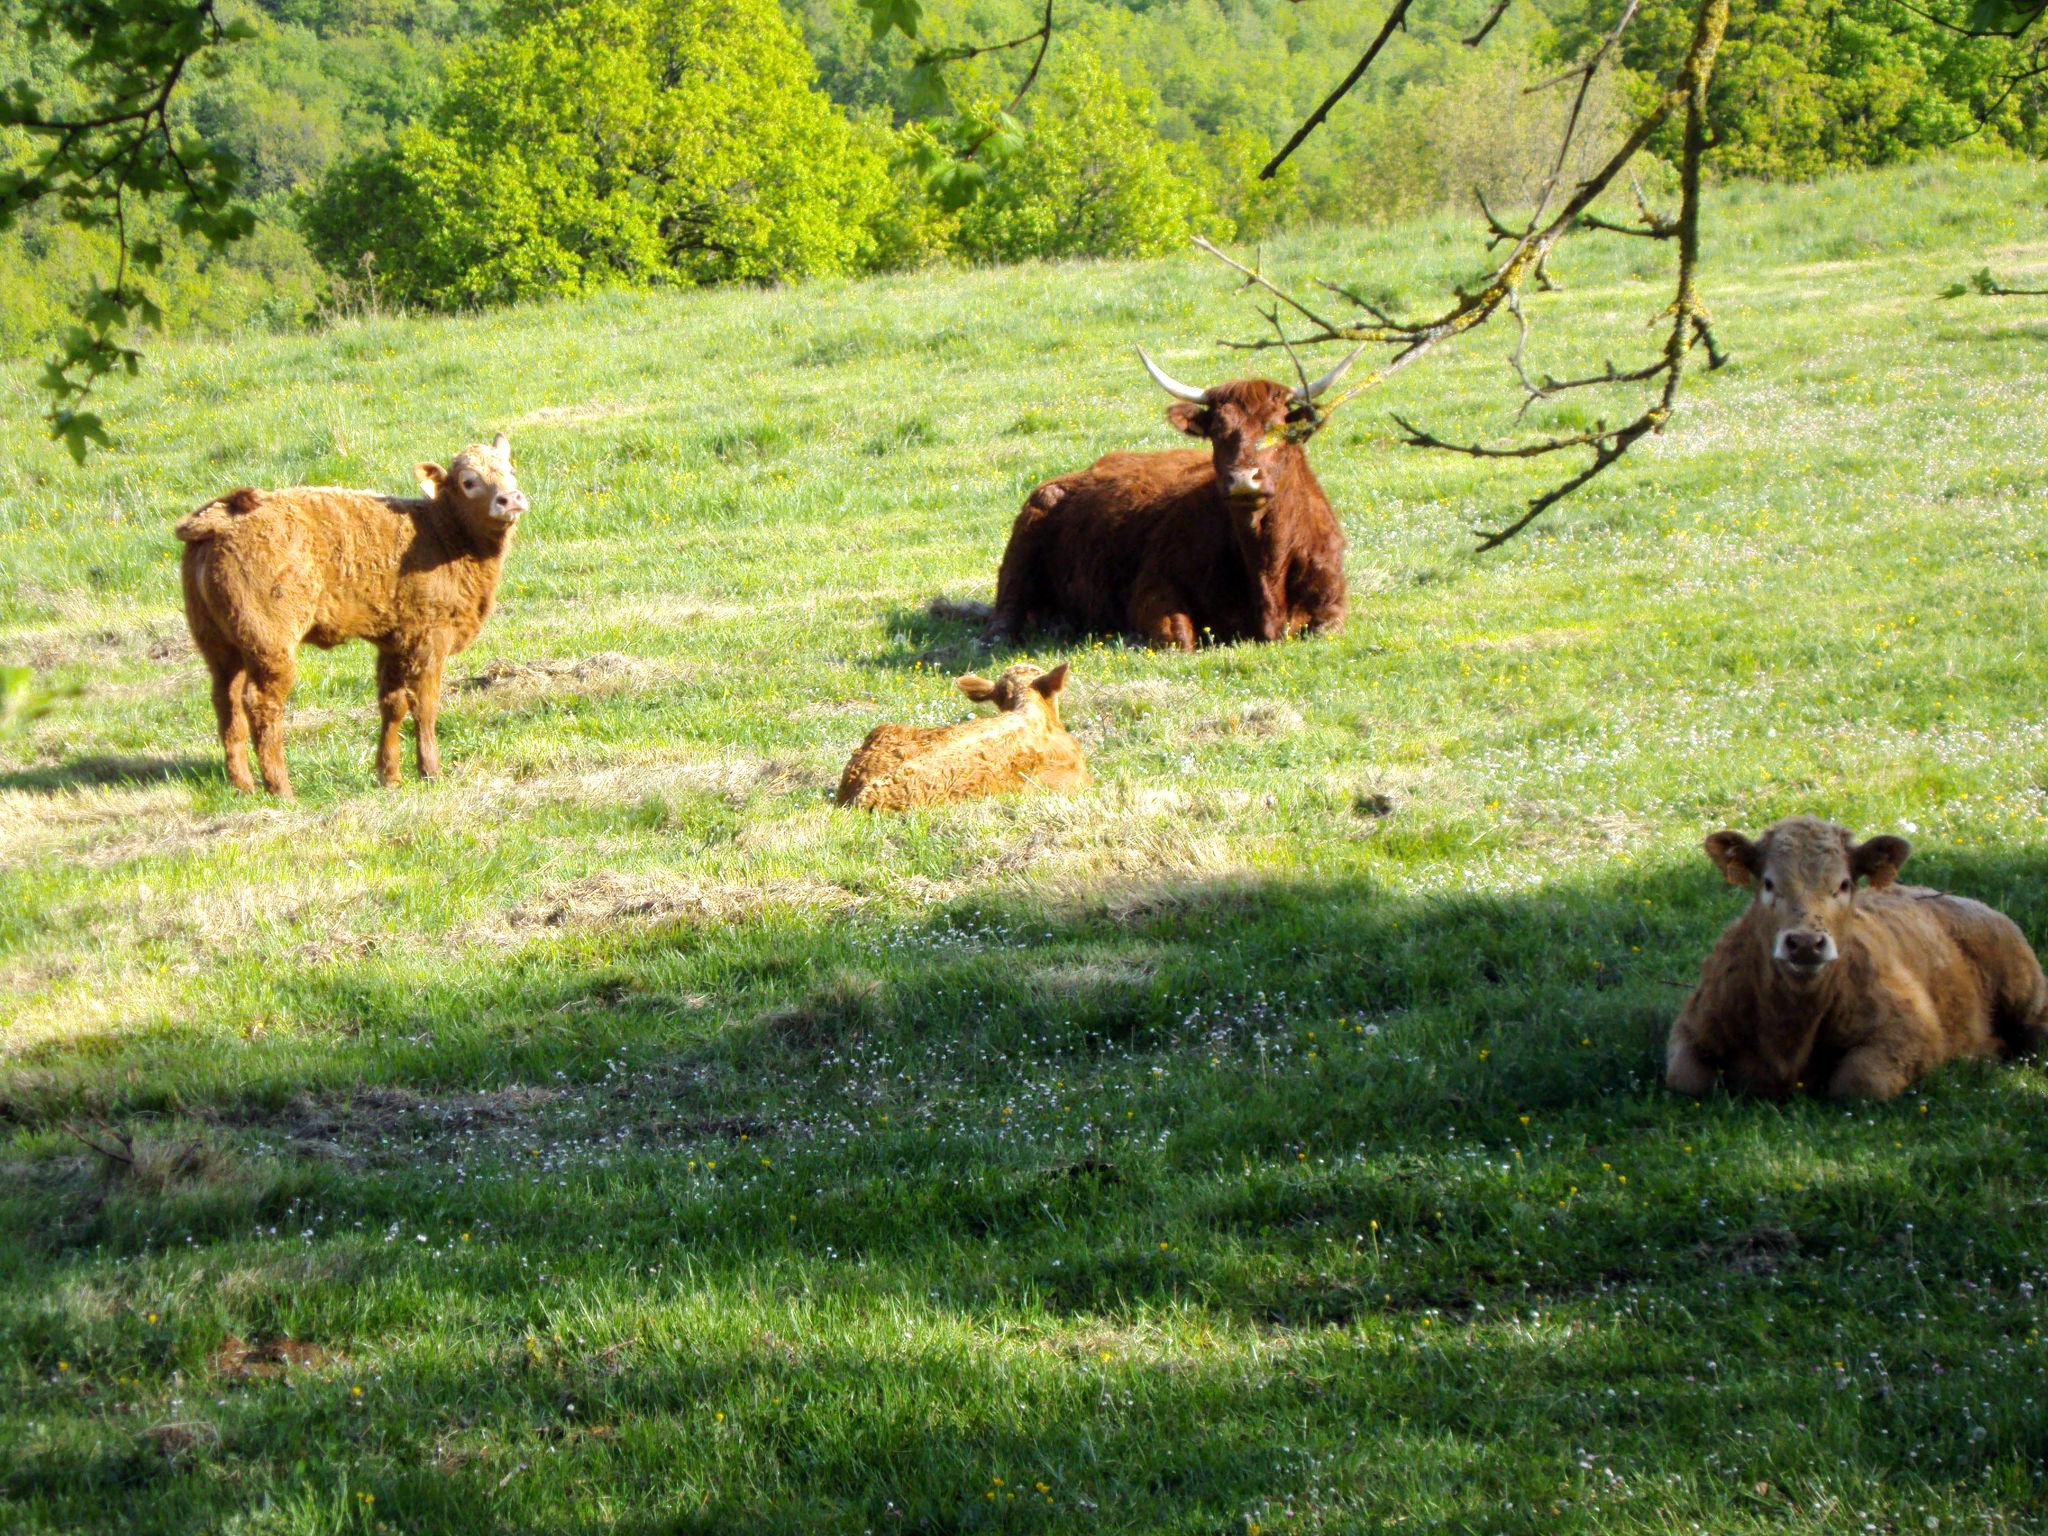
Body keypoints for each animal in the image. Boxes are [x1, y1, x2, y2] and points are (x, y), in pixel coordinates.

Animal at [176, 430, 528, 794]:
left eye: (511, 471)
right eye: (468, 481)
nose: (510, 499)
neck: (441, 534)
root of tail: (222, 517)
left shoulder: (394, 641)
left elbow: (393, 704)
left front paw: (390, 776)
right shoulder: (429, 638)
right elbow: (425, 705)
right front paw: (431, 772)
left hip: (217, 642)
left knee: (226, 701)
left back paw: (243, 785)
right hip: (270, 643)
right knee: (261, 704)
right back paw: (281, 789)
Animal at [978, 346, 1359, 651]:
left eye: (1279, 427)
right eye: (1217, 431)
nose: (1242, 479)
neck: (1267, 563)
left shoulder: (1332, 604)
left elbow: (1325, 628)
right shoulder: (1154, 589)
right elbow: (1178, 639)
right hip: (1020, 553)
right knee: (1003, 618)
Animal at [1662, 811, 2048, 1097]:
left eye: (1844, 884)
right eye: (1768, 883)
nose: (1806, 943)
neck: (1789, 1031)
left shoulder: (1912, 1031)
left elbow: (1859, 1083)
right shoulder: (1691, 1027)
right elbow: (1687, 1079)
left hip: (2026, 991)